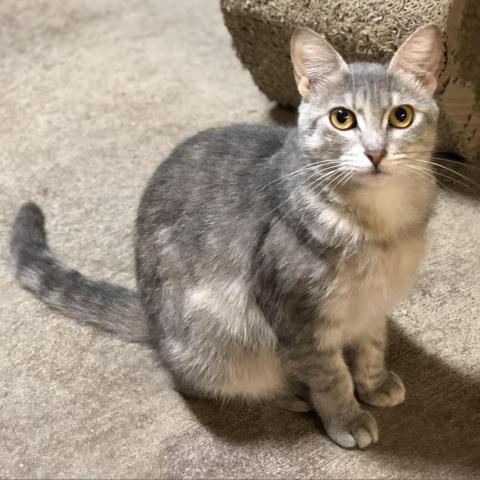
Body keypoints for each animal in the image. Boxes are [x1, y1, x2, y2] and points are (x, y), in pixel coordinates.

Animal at [8, 24, 442, 448]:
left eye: (401, 116)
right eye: (342, 118)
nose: (376, 152)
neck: (379, 229)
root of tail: (152, 321)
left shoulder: (373, 306)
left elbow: (372, 348)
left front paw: (374, 382)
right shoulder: (297, 317)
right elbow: (330, 376)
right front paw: (347, 417)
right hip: (223, 341)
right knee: (203, 381)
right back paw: (290, 391)